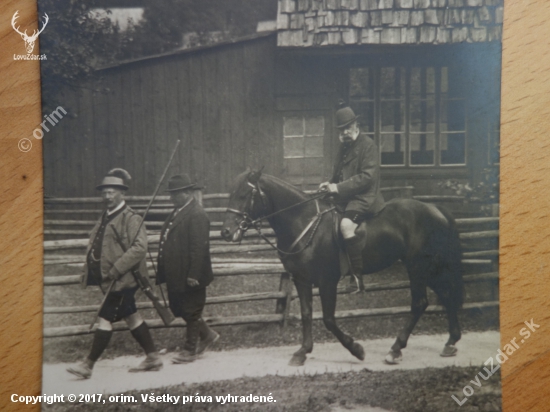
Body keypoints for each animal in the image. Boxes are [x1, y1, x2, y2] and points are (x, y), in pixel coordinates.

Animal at [222, 169, 464, 366]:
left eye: (245, 195)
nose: (226, 232)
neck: (304, 221)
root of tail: (435, 208)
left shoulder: (327, 281)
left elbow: (328, 319)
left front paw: (356, 349)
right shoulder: (301, 279)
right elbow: (307, 314)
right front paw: (302, 352)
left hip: (418, 268)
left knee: (420, 303)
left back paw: (396, 349)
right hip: (429, 269)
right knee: (447, 296)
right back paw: (451, 342)